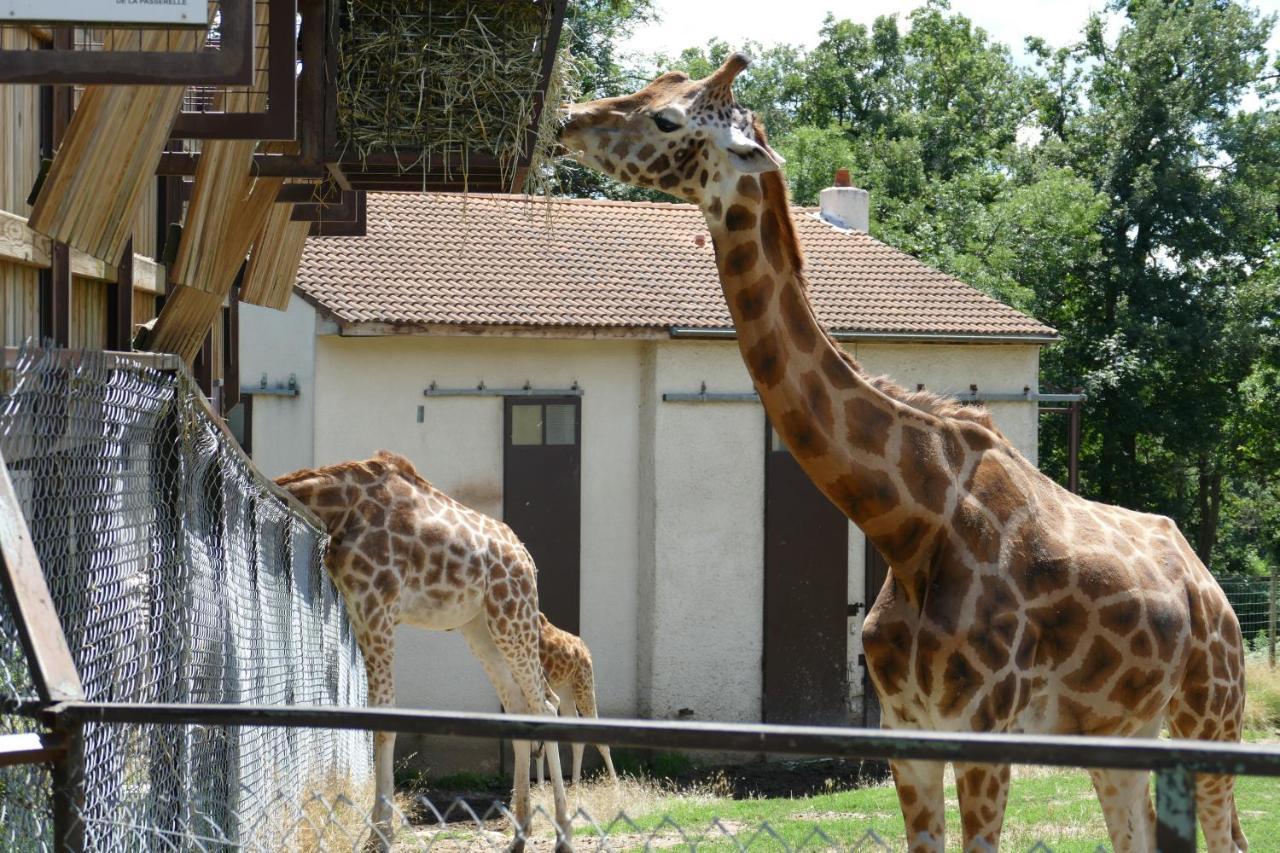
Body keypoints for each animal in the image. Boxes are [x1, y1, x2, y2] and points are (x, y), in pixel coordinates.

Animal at [277, 448, 573, 845]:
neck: (339, 509)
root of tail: (526, 558)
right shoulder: (358, 610)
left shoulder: (377, 606)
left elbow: (384, 719)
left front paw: (381, 834)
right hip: (480, 627)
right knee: (518, 705)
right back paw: (519, 833)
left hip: (513, 612)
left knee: (546, 705)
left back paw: (563, 832)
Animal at [560, 54, 1249, 850]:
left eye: (668, 117)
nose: (570, 119)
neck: (910, 526)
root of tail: (1212, 587)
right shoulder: (906, 733)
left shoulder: (983, 731)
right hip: (1122, 730)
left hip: (1210, 712)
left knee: (1229, 833)